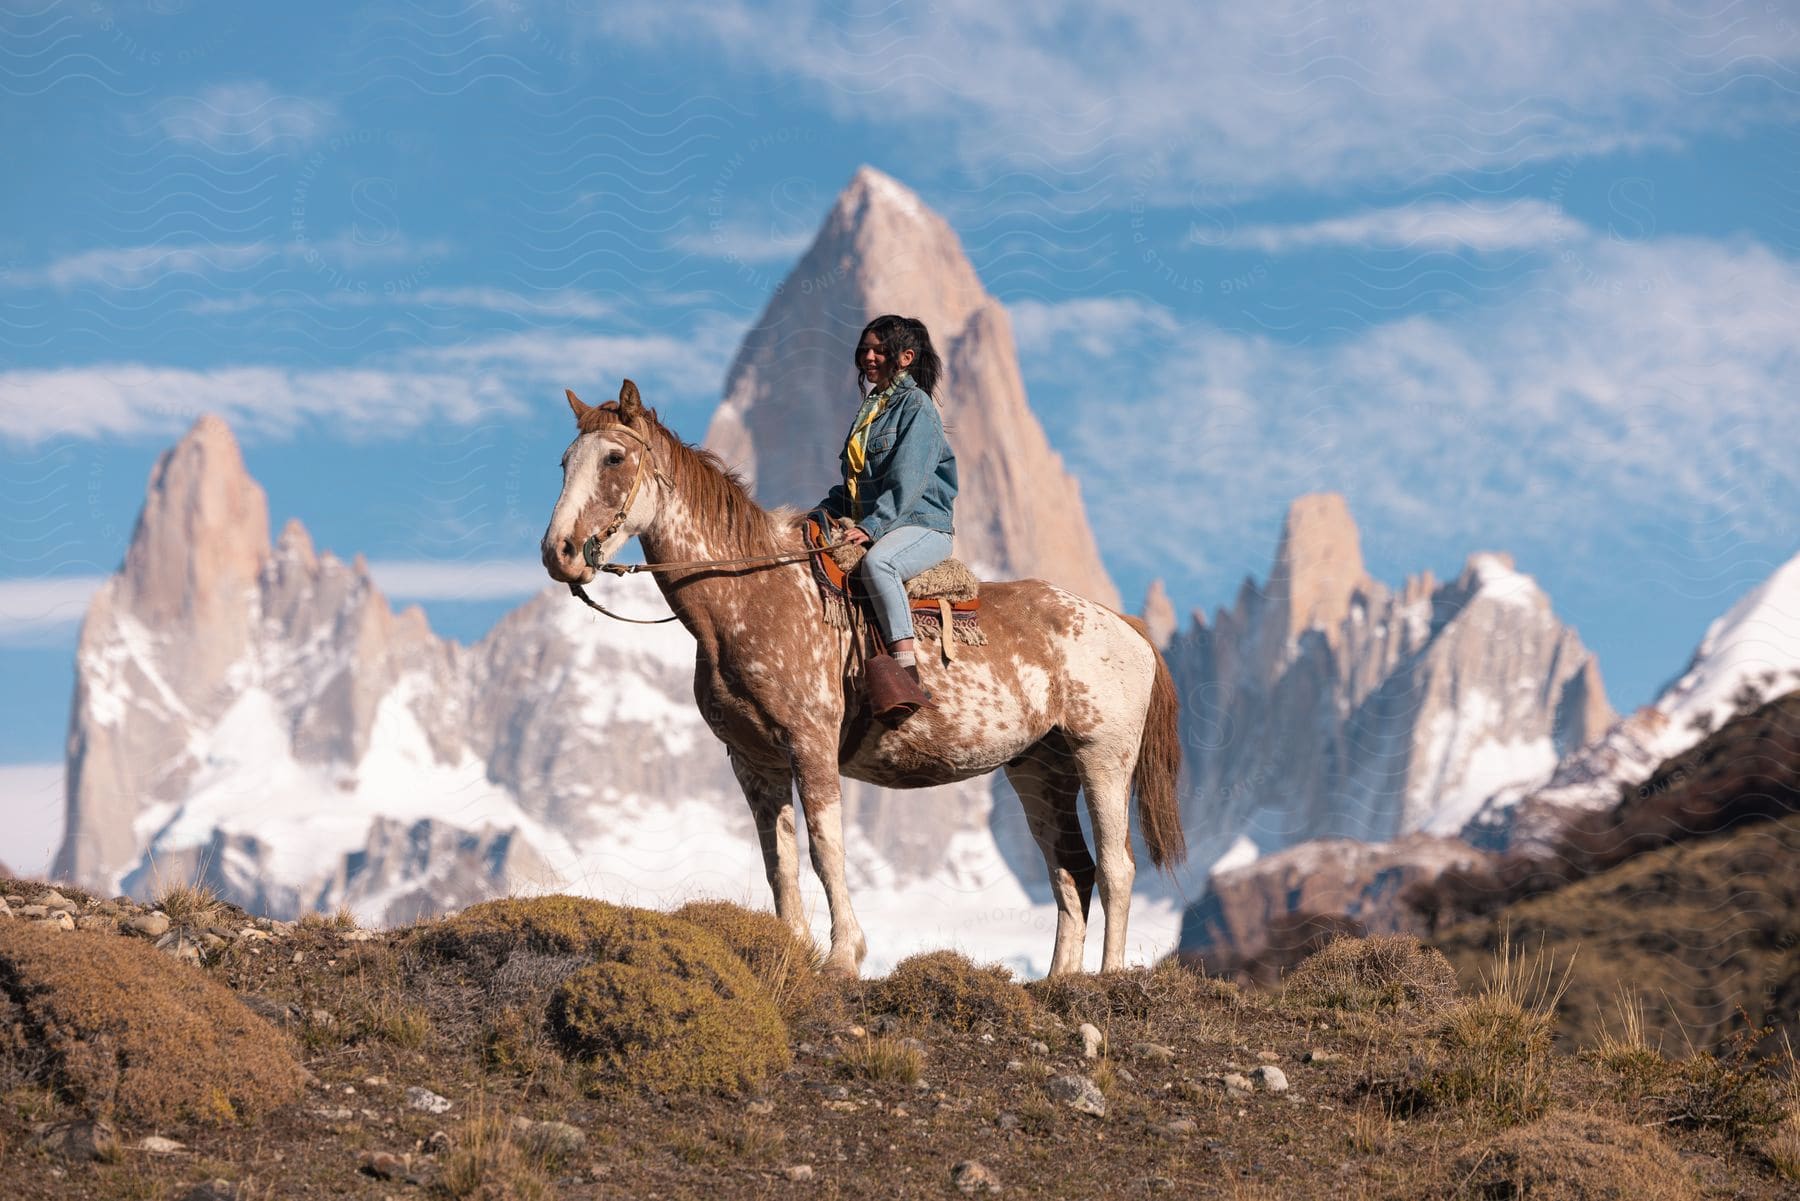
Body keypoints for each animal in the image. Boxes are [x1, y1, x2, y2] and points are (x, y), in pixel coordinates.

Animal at [540, 378, 1188, 979]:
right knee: (1070, 872)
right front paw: (794, 953)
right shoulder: (754, 762)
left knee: (1116, 866)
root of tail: (1124, 626)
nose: (559, 553)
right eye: (565, 462)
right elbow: (779, 862)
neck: (752, 596)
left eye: (614, 458)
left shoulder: (811, 744)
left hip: (1103, 756)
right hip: (1038, 768)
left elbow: (826, 850)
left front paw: (841, 957)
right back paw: (1059, 983)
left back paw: (1108, 977)